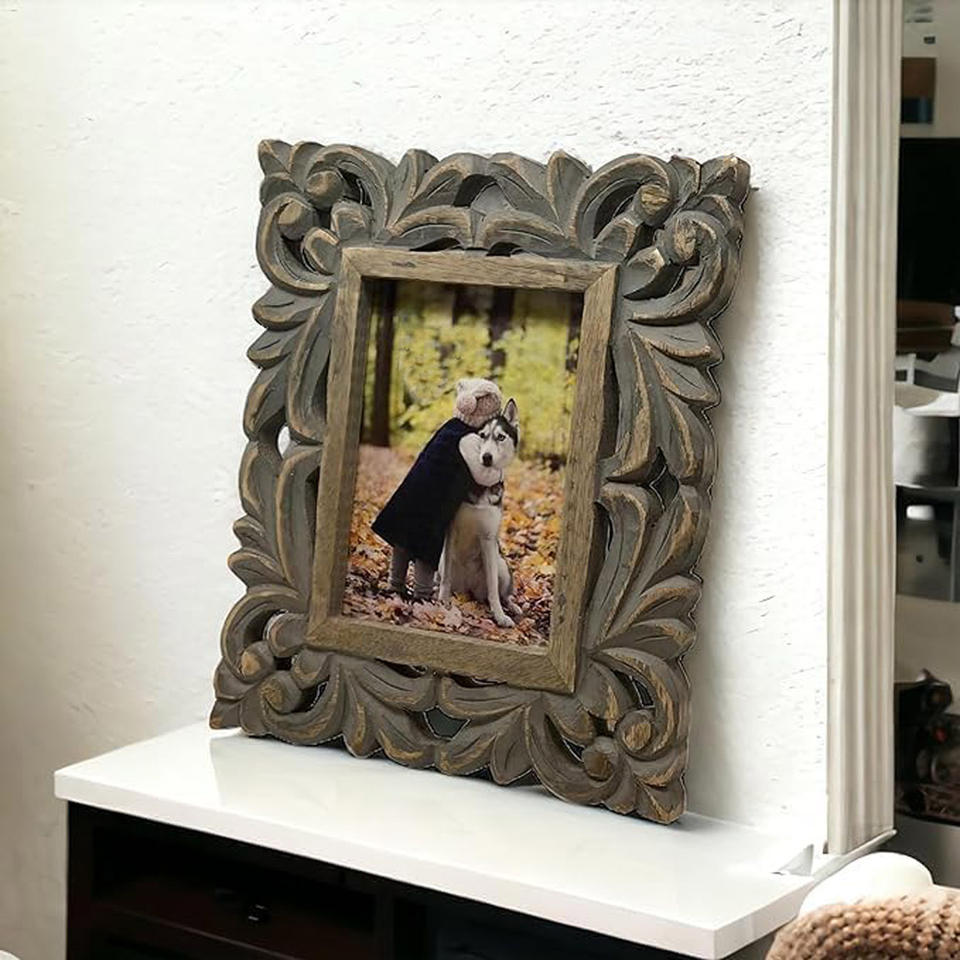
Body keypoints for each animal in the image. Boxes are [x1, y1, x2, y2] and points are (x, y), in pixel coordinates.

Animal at [438, 399, 523, 628]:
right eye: (482, 435)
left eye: (500, 437)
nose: (486, 457)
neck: (480, 485)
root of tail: (468, 589)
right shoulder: (451, 530)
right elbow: (445, 578)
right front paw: (441, 601)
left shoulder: (488, 537)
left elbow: (493, 587)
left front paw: (499, 615)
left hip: (501, 565)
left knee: (501, 593)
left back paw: (511, 606)